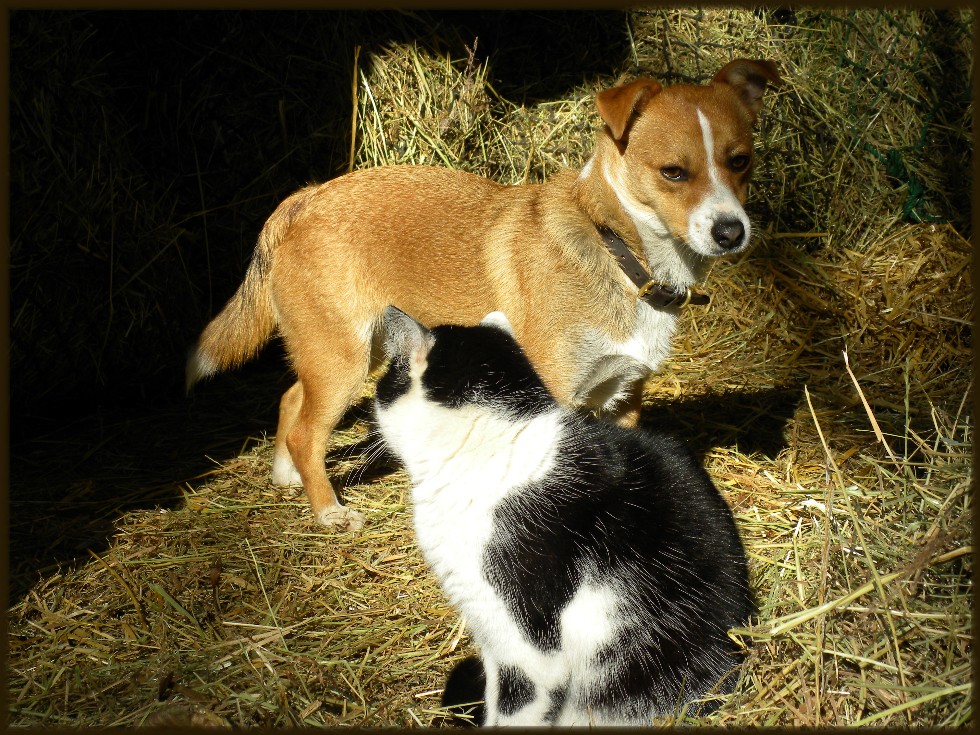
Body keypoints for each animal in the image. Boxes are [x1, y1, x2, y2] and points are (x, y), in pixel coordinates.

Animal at [186, 57, 780, 528]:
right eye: (673, 172)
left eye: (741, 161)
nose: (732, 232)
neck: (614, 249)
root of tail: (301, 200)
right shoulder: (552, 398)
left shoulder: (623, 399)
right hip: (344, 363)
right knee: (308, 431)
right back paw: (328, 510)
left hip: (353, 349)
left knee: (291, 401)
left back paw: (286, 476)